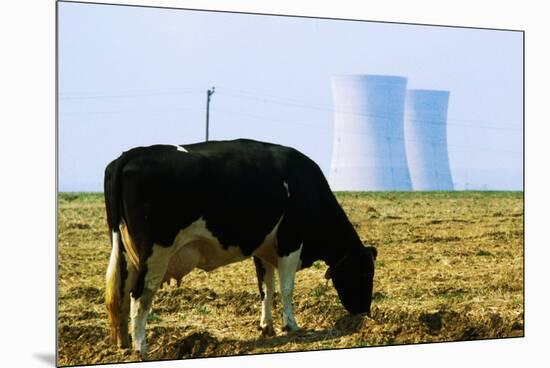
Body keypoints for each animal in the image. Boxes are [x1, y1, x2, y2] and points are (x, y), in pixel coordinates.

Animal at [104, 139, 380, 360]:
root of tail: (132, 153)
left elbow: (266, 288)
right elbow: (286, 287)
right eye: (364, 273)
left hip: (128, 255)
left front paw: (267, 327)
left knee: (121, 294)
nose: (364, 313)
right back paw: (141, 348)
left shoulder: (263, 249)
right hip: (155, 253)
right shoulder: (290, 242)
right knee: (139, 296)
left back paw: (124, 343)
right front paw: (291, 326)